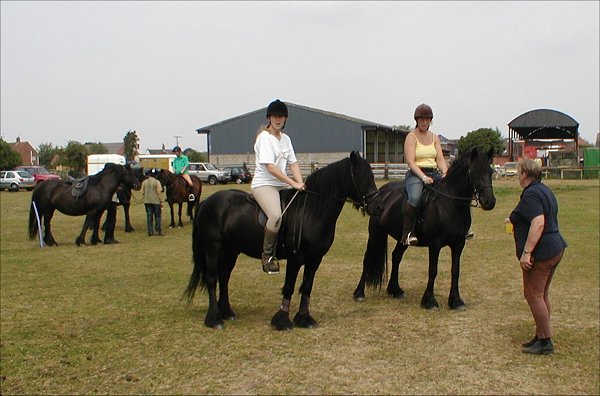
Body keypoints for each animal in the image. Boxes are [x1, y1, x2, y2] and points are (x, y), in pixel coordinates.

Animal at [352, 147, 496, 310]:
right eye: (474, 172)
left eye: (490, 172)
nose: (489, 202)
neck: (449, 203)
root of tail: (380, 193)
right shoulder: (435, 244)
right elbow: (433, 270)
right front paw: (429, 301)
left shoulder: (459, 244)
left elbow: (455, 271)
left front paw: (456, 301)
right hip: (375, 233)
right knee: (368, 259)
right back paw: (359, 293)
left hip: (403, 239)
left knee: (396, 257)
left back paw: (395, 290)